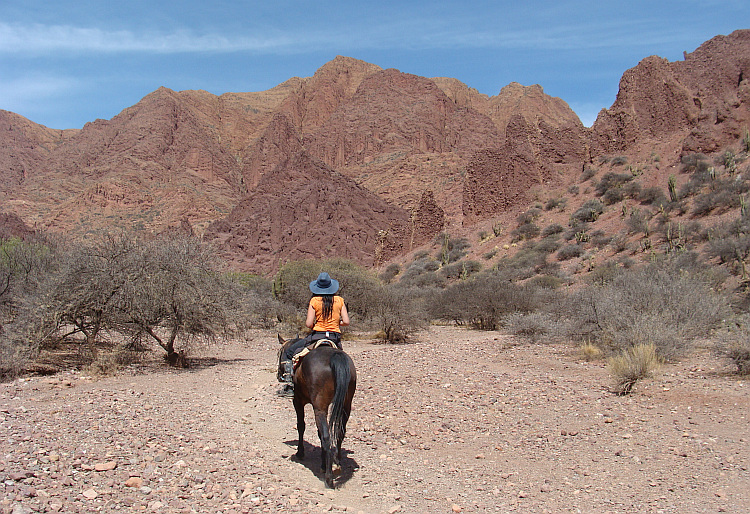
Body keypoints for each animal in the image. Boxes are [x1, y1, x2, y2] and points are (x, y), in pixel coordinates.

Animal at [278, 334, 356, 486]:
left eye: (279, 353)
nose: (279, 376)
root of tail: (335, 356)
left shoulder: (298, 402)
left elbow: (301, 426)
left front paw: (300, 453)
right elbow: (318, 432)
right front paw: (322, 463)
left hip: (320, 408)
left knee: (326, 436)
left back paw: (329, 478)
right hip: (345, 405)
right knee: (339, 432)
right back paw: (337, 464)